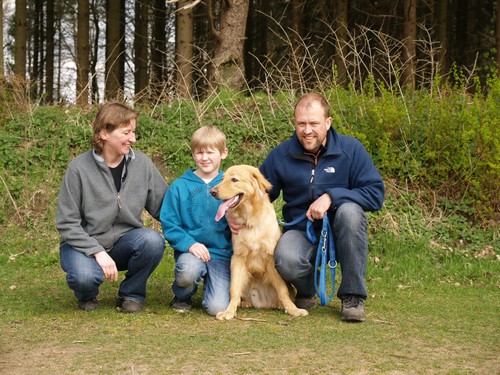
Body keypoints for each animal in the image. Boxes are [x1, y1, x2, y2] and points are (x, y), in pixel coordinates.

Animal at [208, 164, 308, 320]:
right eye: (222, 179)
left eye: (234, 179)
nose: (212, 192)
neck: (250, 220)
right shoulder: (238, 257)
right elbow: (234, 289)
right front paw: (229, 311)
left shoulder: (271, 257)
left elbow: (282, 289)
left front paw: (293, 309)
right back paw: (245, 302)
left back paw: (280, 304)